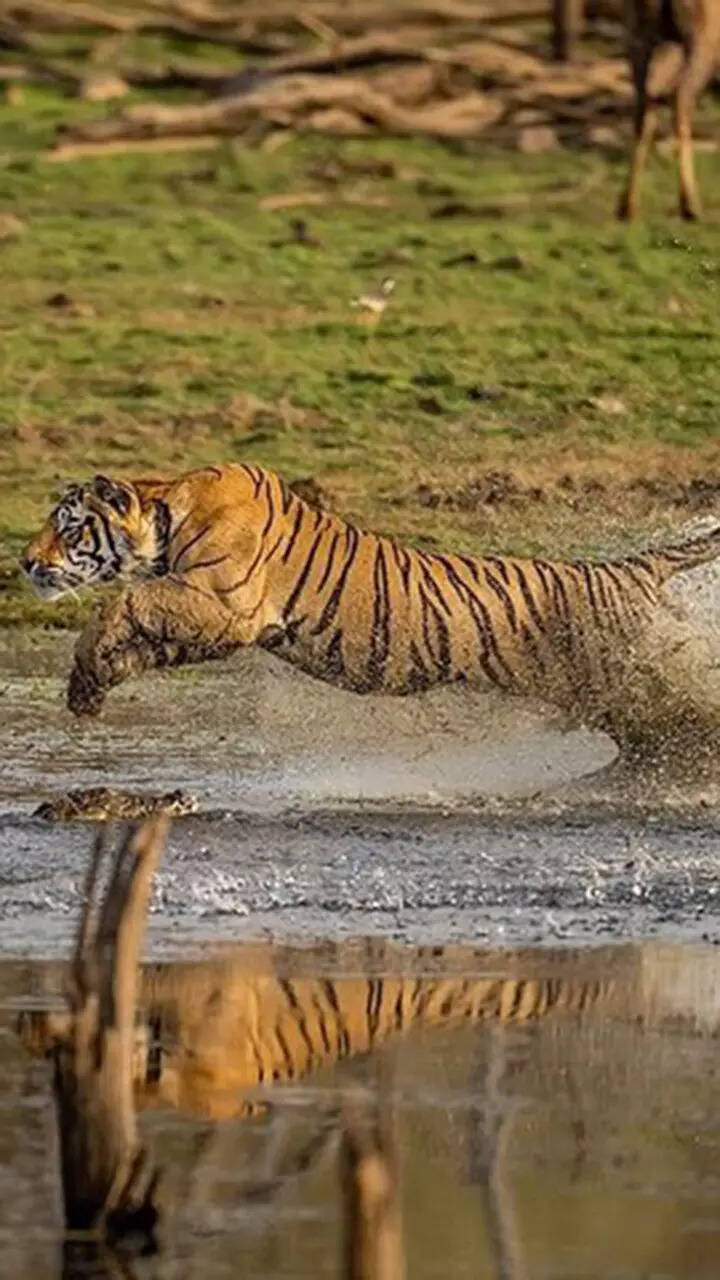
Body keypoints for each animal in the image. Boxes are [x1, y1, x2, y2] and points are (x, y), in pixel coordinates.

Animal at [19, 462, 720, 729]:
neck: (169, 510)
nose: (26, 562)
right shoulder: (209, 621)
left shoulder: (224, 604)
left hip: (631, 677)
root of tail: (630, 568)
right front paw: (88, 691)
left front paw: (89, 672)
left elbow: (123, 604)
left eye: (68, 525)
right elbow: (134, 641)